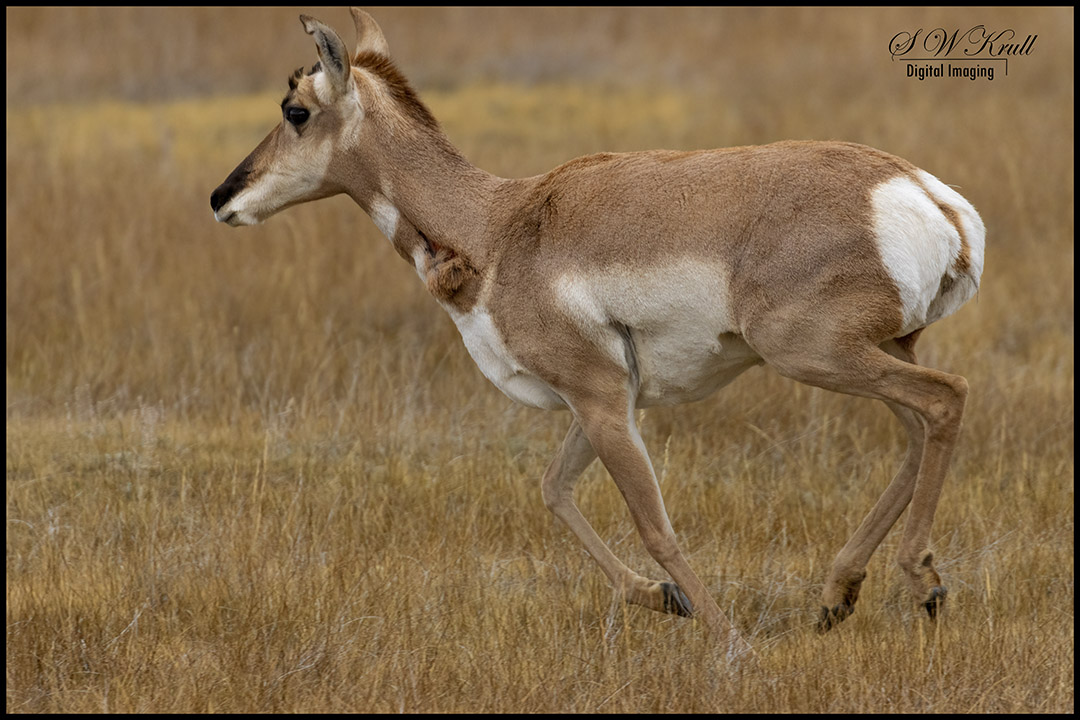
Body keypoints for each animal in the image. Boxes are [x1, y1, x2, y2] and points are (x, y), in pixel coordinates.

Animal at [210, 8, 985, 655]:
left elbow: (655, 526)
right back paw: (839, 595)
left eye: (295, 110)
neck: (500, 223)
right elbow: (553, 489)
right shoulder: (600, 403)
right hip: (868, 354)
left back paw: (921, 581)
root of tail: (924, 195)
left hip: (817, 355)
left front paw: (731, 643)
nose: (222, 197)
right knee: (917, 431)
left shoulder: (602, 401)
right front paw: (661, 599)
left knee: (945, 398)